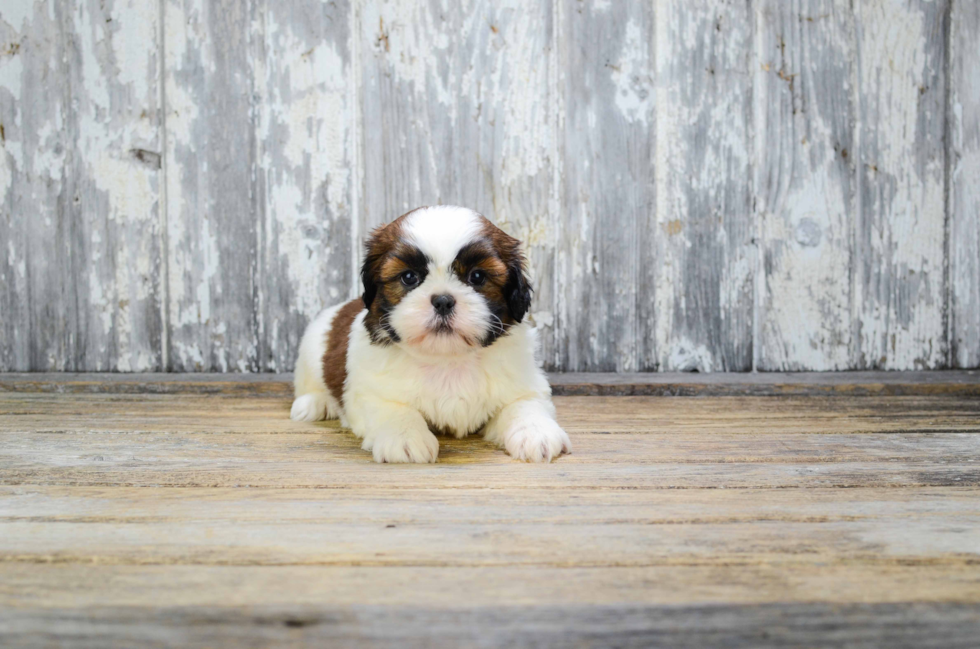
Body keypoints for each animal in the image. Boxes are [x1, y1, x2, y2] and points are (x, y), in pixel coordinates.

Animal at [288, 205, 572, 464]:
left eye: (477, 276)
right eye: (409, 277)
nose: (443, 300)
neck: (448, 359)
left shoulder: (525, 383)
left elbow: (524, 404)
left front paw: (536, 433)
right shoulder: (369, 391)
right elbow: (394, 408)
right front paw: (404, 438)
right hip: (309, 351)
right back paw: (315, 403)